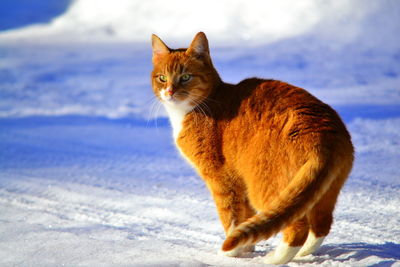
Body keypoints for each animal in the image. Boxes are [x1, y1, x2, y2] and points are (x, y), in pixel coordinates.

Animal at [150, 32, 354, 264]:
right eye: (162, 78)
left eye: (185, 77)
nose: (169, 91)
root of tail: (322, 131)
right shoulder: (240, 180)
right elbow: (245, 218)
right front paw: (246, 247)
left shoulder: (221, 178)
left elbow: (230, 217)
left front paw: (231, 252)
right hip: (323, 191)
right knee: (321, 225)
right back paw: (303, 253)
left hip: (265, 185)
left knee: (297, 226)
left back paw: (275, 259)